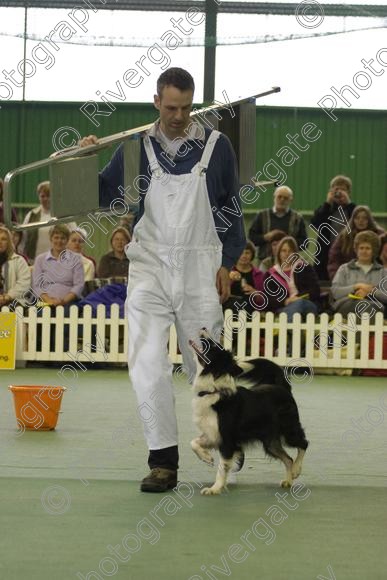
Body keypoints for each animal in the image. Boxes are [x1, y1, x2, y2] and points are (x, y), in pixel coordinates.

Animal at [190, 328, 310, 496]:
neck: (212, 390)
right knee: (288, 459)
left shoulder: (227, 440)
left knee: (303, 443)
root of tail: (281, 387)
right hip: (270, 442)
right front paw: (206, 457)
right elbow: (193, 443)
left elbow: (222, 468)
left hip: (288, 429)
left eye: (214, 346)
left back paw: (296, 470)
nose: (203, 328)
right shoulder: (212, 434)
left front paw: (214, 488)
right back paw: (288, 480)